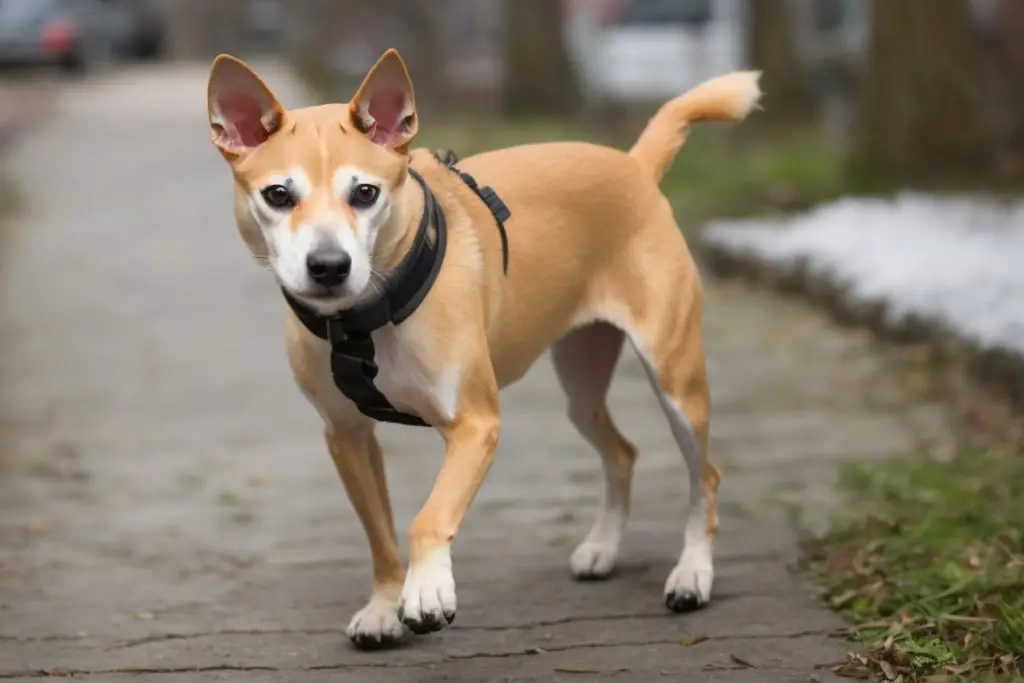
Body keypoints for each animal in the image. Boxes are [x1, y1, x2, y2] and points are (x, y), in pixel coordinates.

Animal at [205, 49, 761, 651]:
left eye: (365, 193)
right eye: (278, 195)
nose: (329, 266)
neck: (365, 317)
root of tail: (634, 166)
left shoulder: (475, 424)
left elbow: (428, 517)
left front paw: (426, 590)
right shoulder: (346, 435)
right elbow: (379, 533)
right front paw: (383, 607)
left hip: (675, 379)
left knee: (705, 476)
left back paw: (693, 575)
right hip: (581, 385)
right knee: (622, 452)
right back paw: (603, 549)